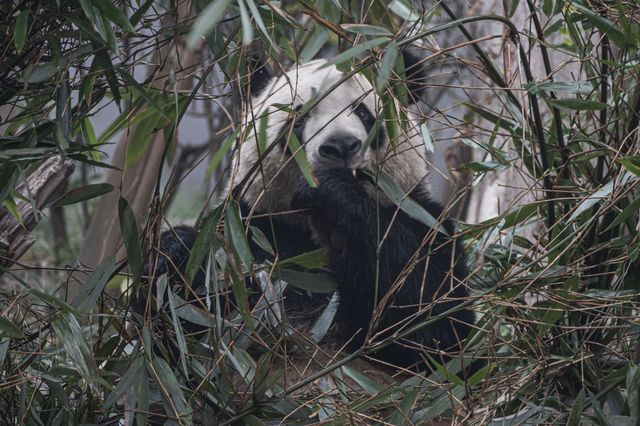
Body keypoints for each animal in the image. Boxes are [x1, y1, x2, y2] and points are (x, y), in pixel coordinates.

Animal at [148, 51, 472, 372]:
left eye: (363, 113)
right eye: (299, 117)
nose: (341, 146)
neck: (309, 227)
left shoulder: (424, 220)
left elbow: (432, 327)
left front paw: (333, 194)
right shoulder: (248, 232)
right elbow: (177, 331)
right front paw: (175, 252)